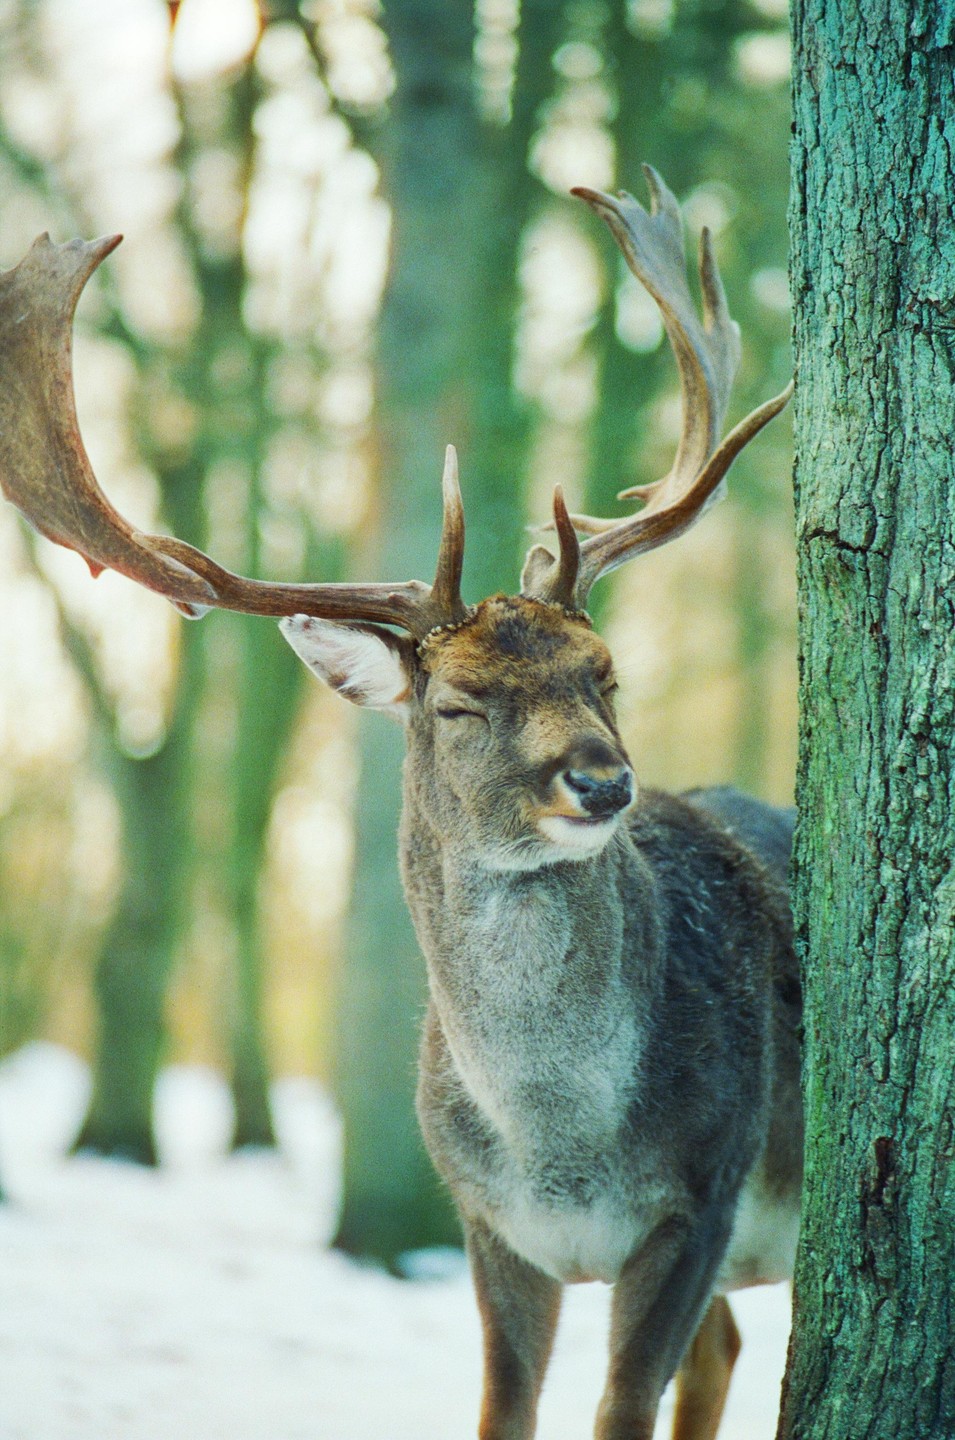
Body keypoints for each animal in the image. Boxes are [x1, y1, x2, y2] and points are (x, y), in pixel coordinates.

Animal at [0, 166, 801, 1440]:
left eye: (605, 672)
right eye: (460, 704)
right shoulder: (487, 1224)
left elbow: (622, 1409)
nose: (602, 780)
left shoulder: (703, 1195)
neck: (559, 1152)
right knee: (723, 1349)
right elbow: (501, 1411)